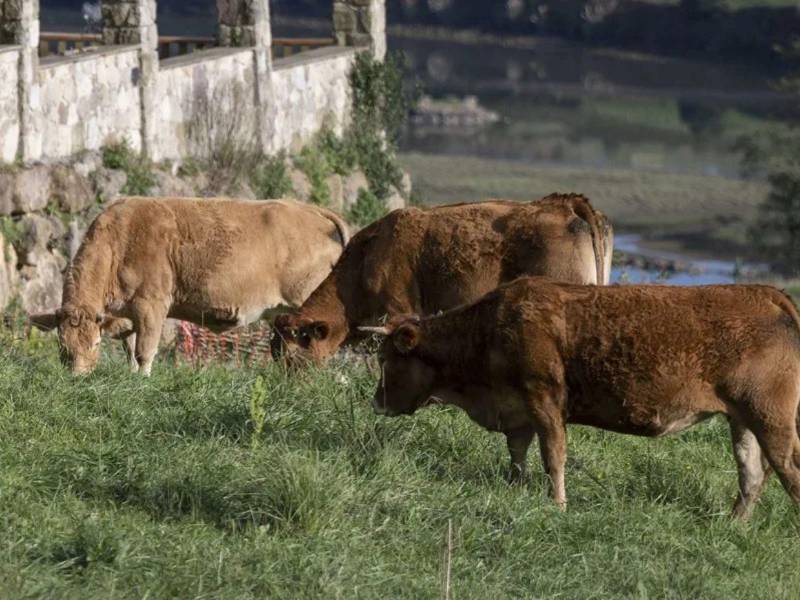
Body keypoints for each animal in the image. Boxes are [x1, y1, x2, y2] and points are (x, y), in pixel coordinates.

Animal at [34, 196, 348, 375]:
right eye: (62, 346)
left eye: (96, 343)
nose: (78, 378)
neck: (120, 242)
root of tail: (311, 210)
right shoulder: (126, 313)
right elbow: (130, 349)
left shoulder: (151, 305)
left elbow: (144, 350)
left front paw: (141, 383)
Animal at [362, 277, 800, 519]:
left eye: (387, 359)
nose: (376, 403)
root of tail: (764, 293)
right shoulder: (517, 411)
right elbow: (517, 454)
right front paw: (516, 488)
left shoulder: (545, 400)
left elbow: (553, 457)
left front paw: (557, 505)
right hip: (743, 419)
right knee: (752, 474)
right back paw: (732, 523)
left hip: (772, 418)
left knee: (787, 470)